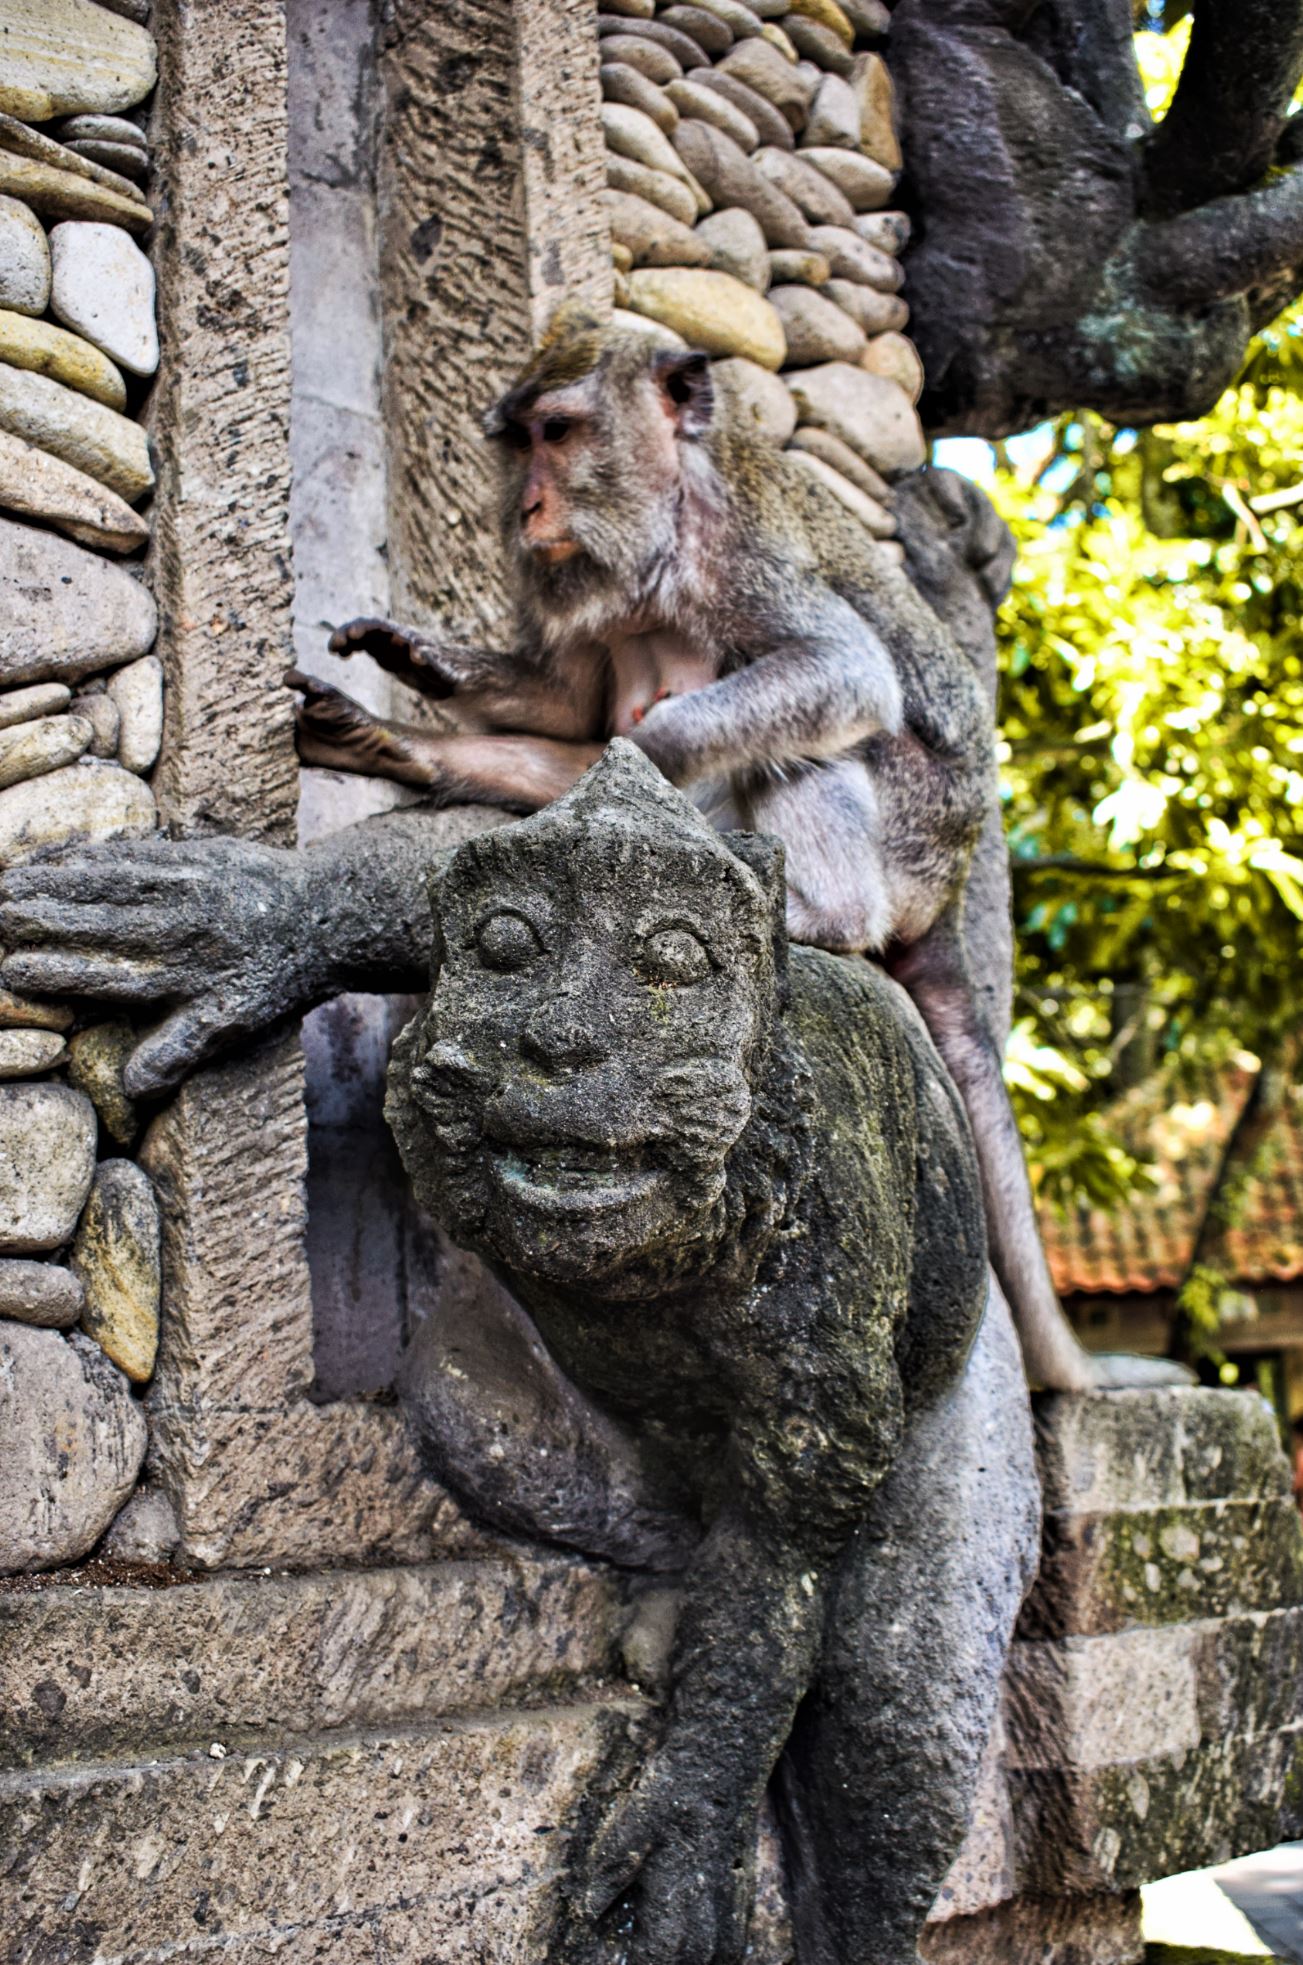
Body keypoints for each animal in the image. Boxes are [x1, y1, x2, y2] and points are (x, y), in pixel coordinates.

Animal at [288, 307, 1188, 1396]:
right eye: (519, 445)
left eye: (560, 432)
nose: (531, 505)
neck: (667, 505)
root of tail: (949, 889)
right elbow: (569, 705)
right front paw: (418, 679)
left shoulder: (732, 548)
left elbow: (841, 669)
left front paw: (652, 745)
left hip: (905, 846)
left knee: (817, 740)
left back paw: (817, 914)